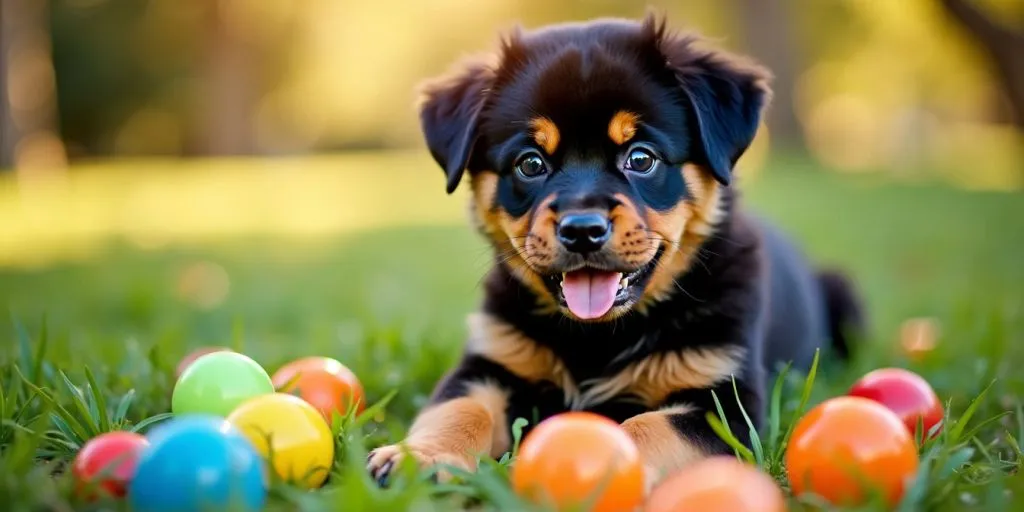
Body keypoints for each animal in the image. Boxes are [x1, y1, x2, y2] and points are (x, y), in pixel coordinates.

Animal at [368, 14, 864, 487]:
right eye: (530, 163)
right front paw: (419, 459)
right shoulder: (489, 363)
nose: (583, 230)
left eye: (640, 158)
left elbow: (648, 427)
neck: (598, 337)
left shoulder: (725, 402)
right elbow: (457, 410)